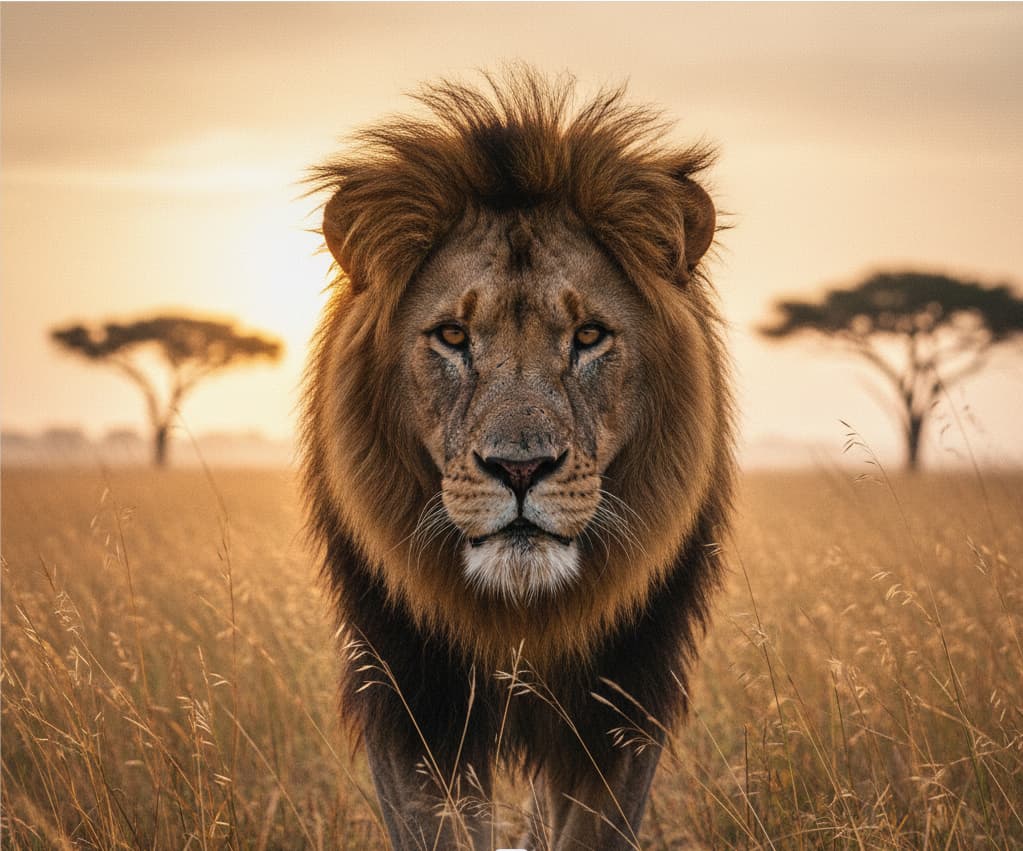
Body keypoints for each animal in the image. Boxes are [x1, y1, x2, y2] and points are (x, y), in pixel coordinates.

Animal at [303, 69, 734, 850]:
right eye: (451, 335)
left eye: (589, 335)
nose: (520, 469)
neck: (519, 617)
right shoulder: (411, 698)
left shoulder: (621, 702)